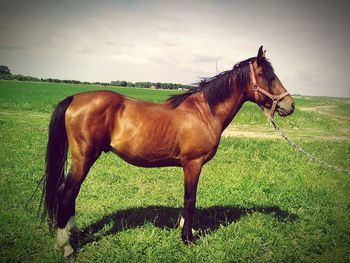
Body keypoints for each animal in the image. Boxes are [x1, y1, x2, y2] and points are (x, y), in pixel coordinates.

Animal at [41, 46, 294, 256]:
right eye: (267, 76)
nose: (290, 105)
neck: (204, 112)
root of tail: (74, 98)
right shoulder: (193, 164)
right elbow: (190, 199)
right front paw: (187, 238)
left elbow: (187, 200)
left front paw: (185, 230)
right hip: (84, 158)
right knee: (66, 194)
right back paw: (66, 246)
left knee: (70, 193)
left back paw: (74, 232)